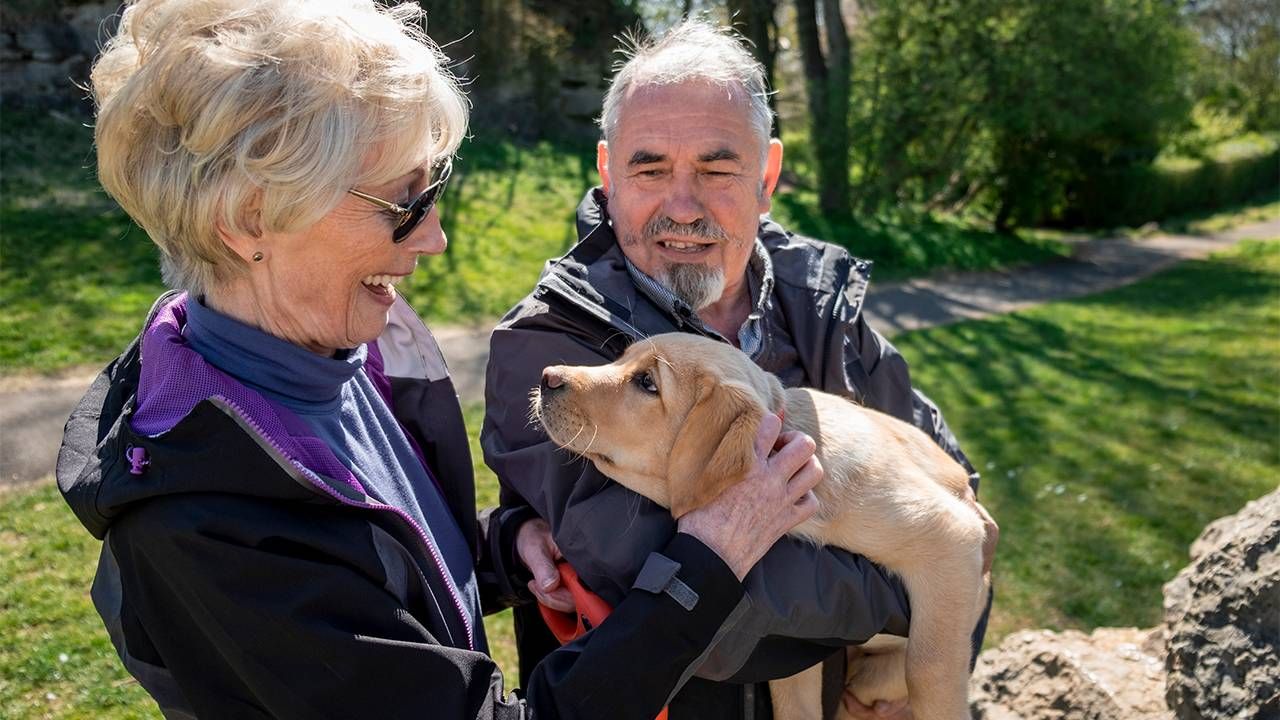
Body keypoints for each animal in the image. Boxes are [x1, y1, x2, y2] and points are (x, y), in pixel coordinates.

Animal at [529, 333, 988, 717]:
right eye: (619, 358)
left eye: (646, 382)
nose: (547, 376)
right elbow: (795, 705)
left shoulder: (951, 536)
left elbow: (928, 668)